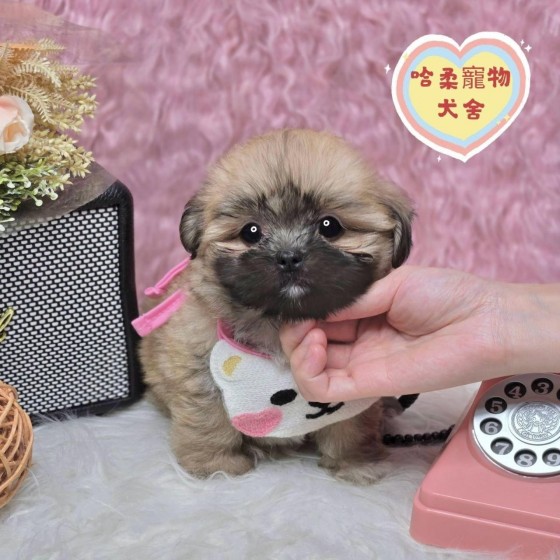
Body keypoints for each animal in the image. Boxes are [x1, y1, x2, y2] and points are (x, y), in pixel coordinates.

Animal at [138, 129, 413, 484]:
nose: (289, 256)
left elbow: (351, 424)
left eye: (330, 226)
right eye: (251, 232)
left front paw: (355, 463)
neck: (279, 320)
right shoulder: (198, 366)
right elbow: (208, 420)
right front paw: (216, 466)